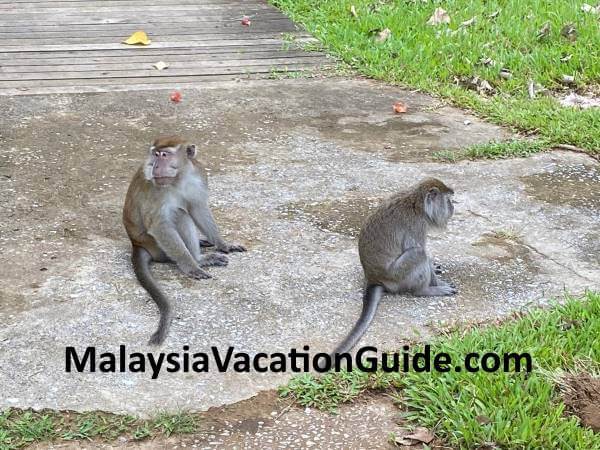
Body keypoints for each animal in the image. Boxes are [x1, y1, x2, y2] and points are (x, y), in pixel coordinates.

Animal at [123, 136, 245, 344]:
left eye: (164, 155)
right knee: (180, 215)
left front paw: (223, 244)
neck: (178, 179)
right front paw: (191, 267)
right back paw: (196, 261)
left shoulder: (198, 176)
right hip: (157, 247)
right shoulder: (156, 189)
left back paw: (202, 255)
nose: (154, 166)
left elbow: (198, 208)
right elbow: (159, 225)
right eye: (155, 154)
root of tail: (136, 243)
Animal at [326, 178, 458, 364]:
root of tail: (373, 278)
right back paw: (424, 290)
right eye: (448, 200)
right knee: (418, 253)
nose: (453, 208)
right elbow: (418, 249)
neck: (418, 204)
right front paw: (437, 283)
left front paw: (434, 267)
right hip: (397, 276)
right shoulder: (417, 226)